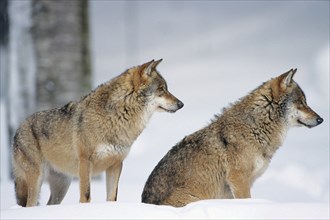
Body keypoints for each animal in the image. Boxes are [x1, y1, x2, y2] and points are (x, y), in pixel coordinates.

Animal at [12, 58, 183, 206]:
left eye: (166, 88)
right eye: (161, 89)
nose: (181, 104)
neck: (118, 116)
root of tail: (18, 128)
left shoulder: (116, 164)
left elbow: (112, 197)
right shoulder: (85, 161)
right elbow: (86, 195)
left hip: (62, 185)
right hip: (37, 180)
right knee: (30, 204)